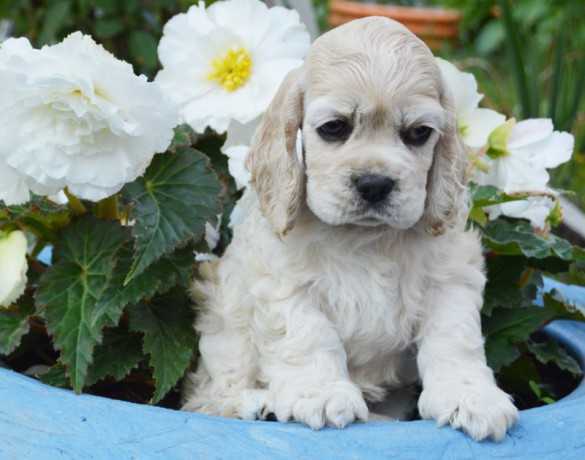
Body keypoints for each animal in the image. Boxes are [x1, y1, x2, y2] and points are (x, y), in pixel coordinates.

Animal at [181, 16, 516, 440]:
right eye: (334, 128)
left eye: (418, 133)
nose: (374, 184)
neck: (364, 237)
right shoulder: (282, 281)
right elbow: (307, 335)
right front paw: (321, 394)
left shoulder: (450, 277)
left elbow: (455, 339)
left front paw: (471, 397)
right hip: (225, 326)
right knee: (207, 395)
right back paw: (255, 405)